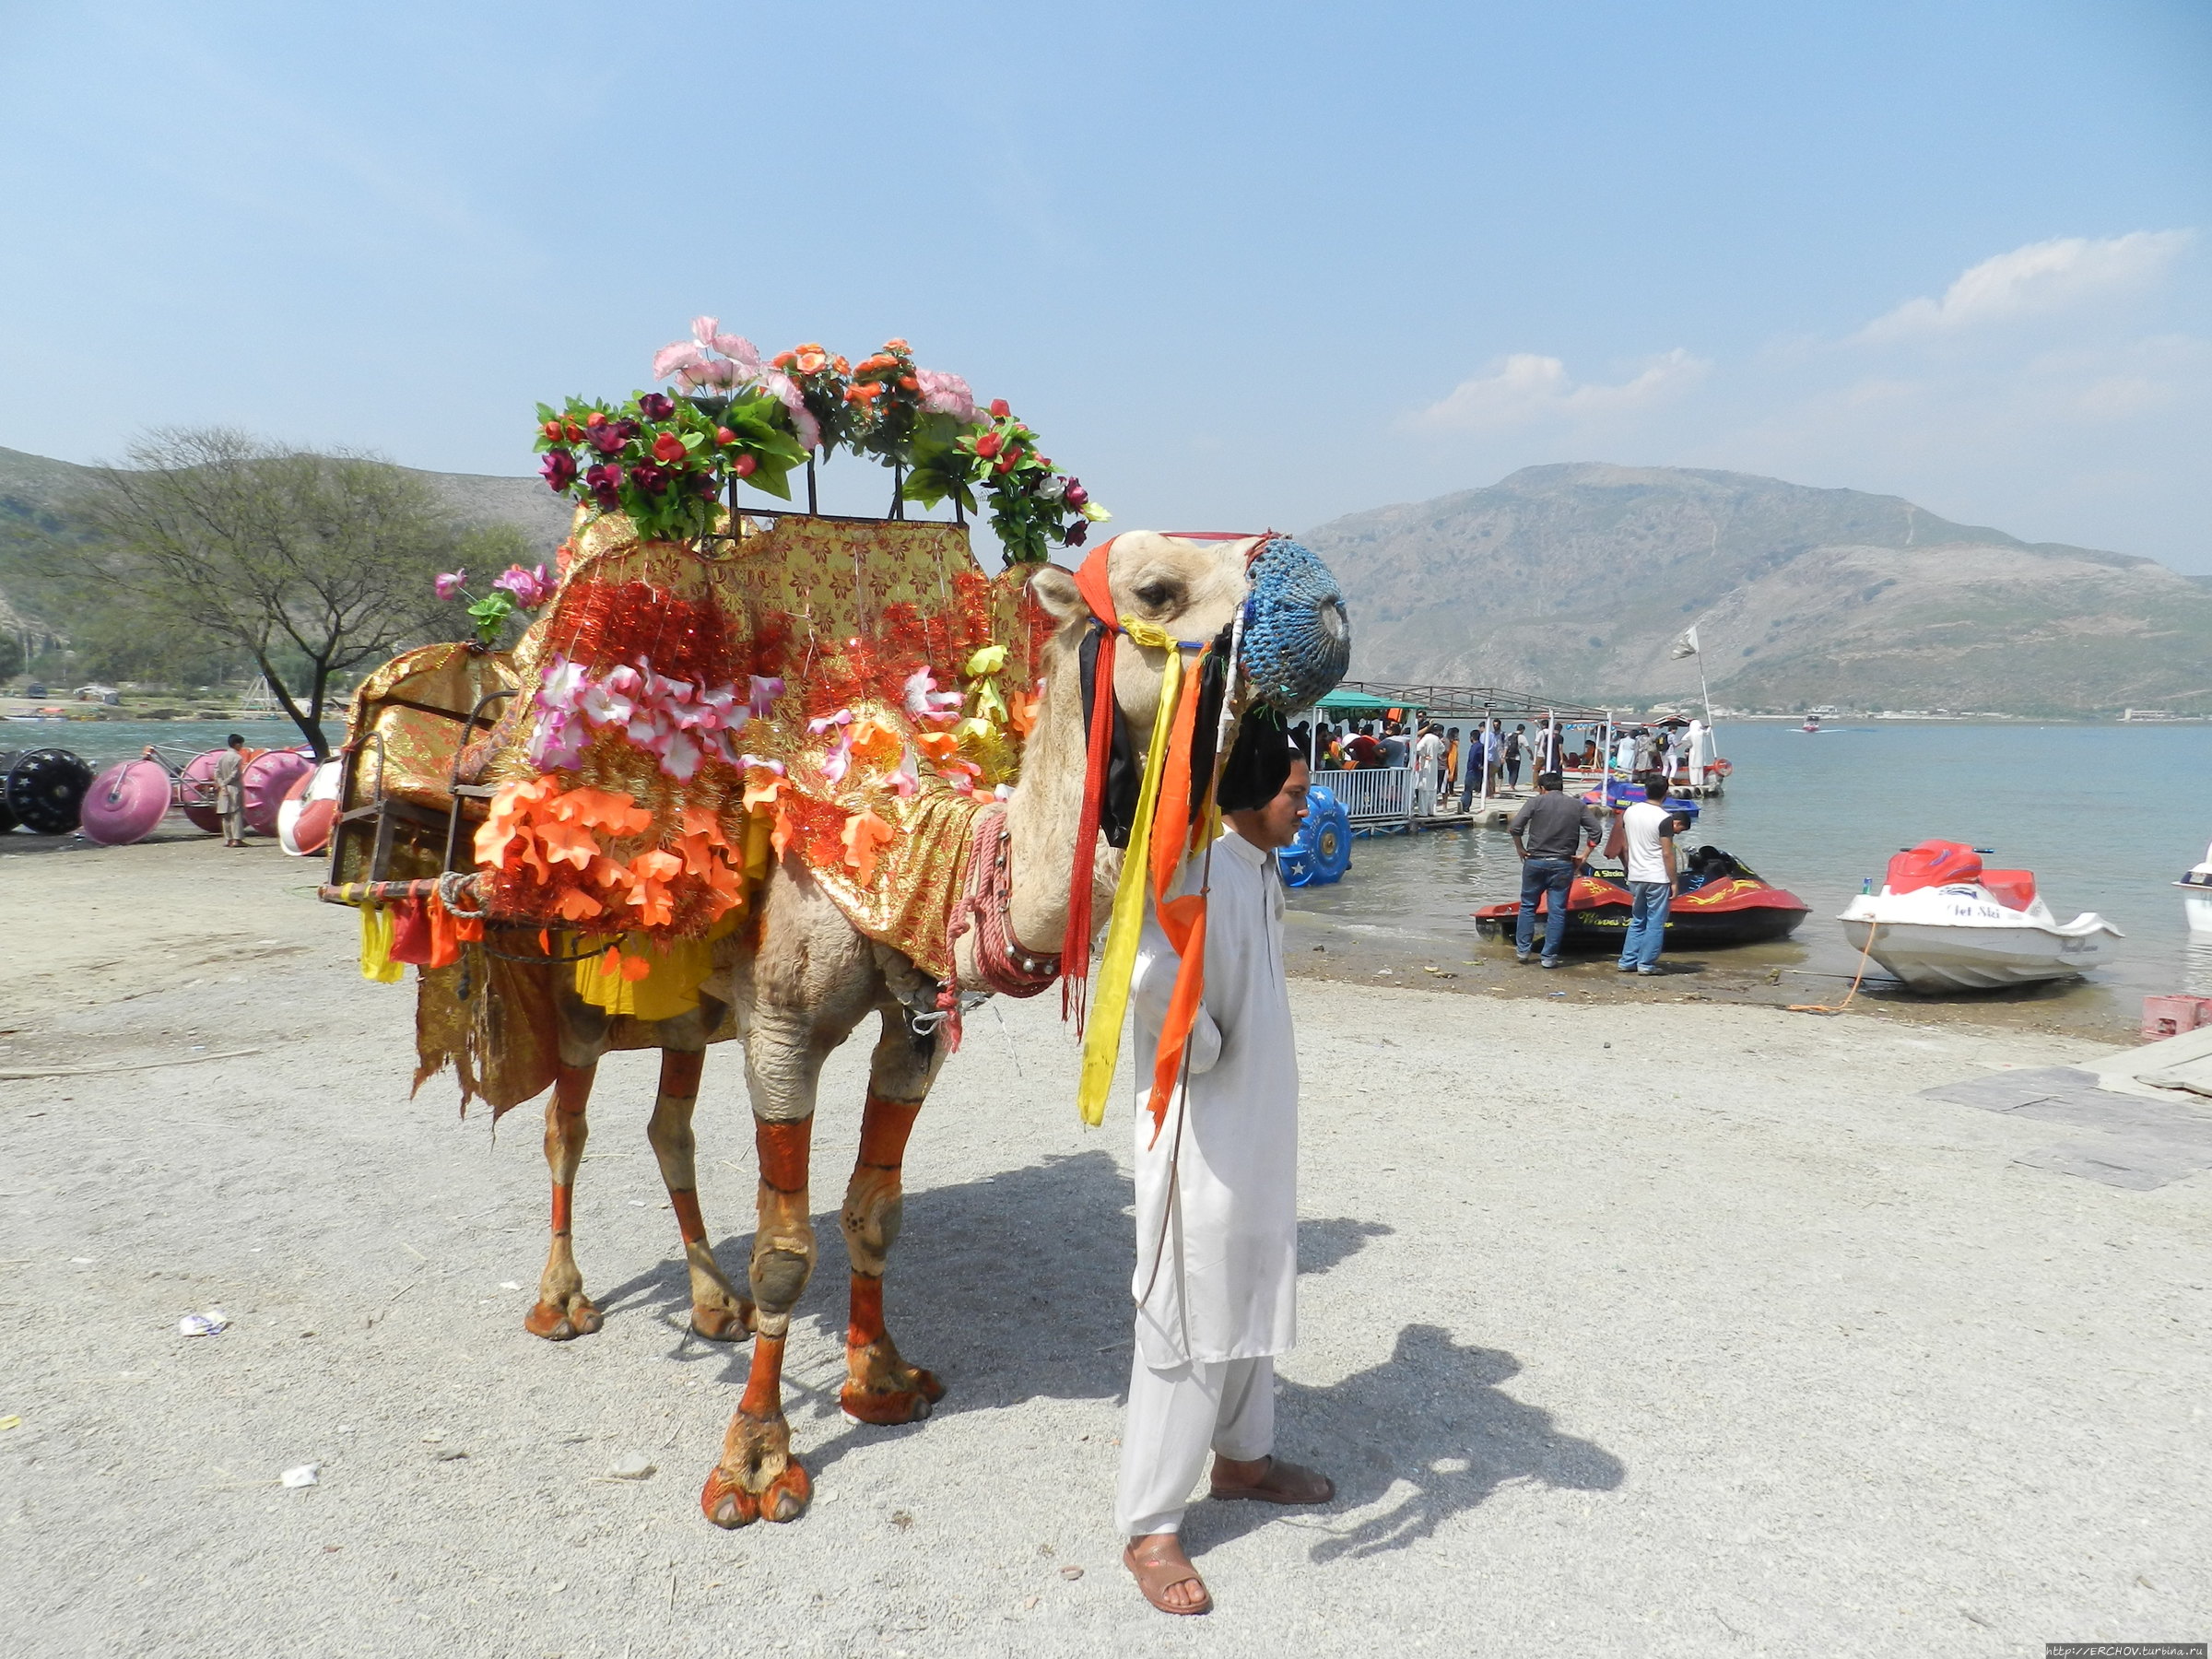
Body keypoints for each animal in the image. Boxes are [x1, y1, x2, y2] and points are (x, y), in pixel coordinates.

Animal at [316, 324, 1345, 1530]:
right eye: (1158, 583)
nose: (1325, 602)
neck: (916, 848)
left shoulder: (911, 1031)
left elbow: (869, 1214)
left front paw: (881, 1378)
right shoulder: (782, 1032)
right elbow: (786, 1248)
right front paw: (756, 1458)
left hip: (687, 1008)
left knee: (669, 1125)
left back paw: (707, 1300)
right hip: (572, 965)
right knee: (567, 1125)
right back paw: (564, 1301)